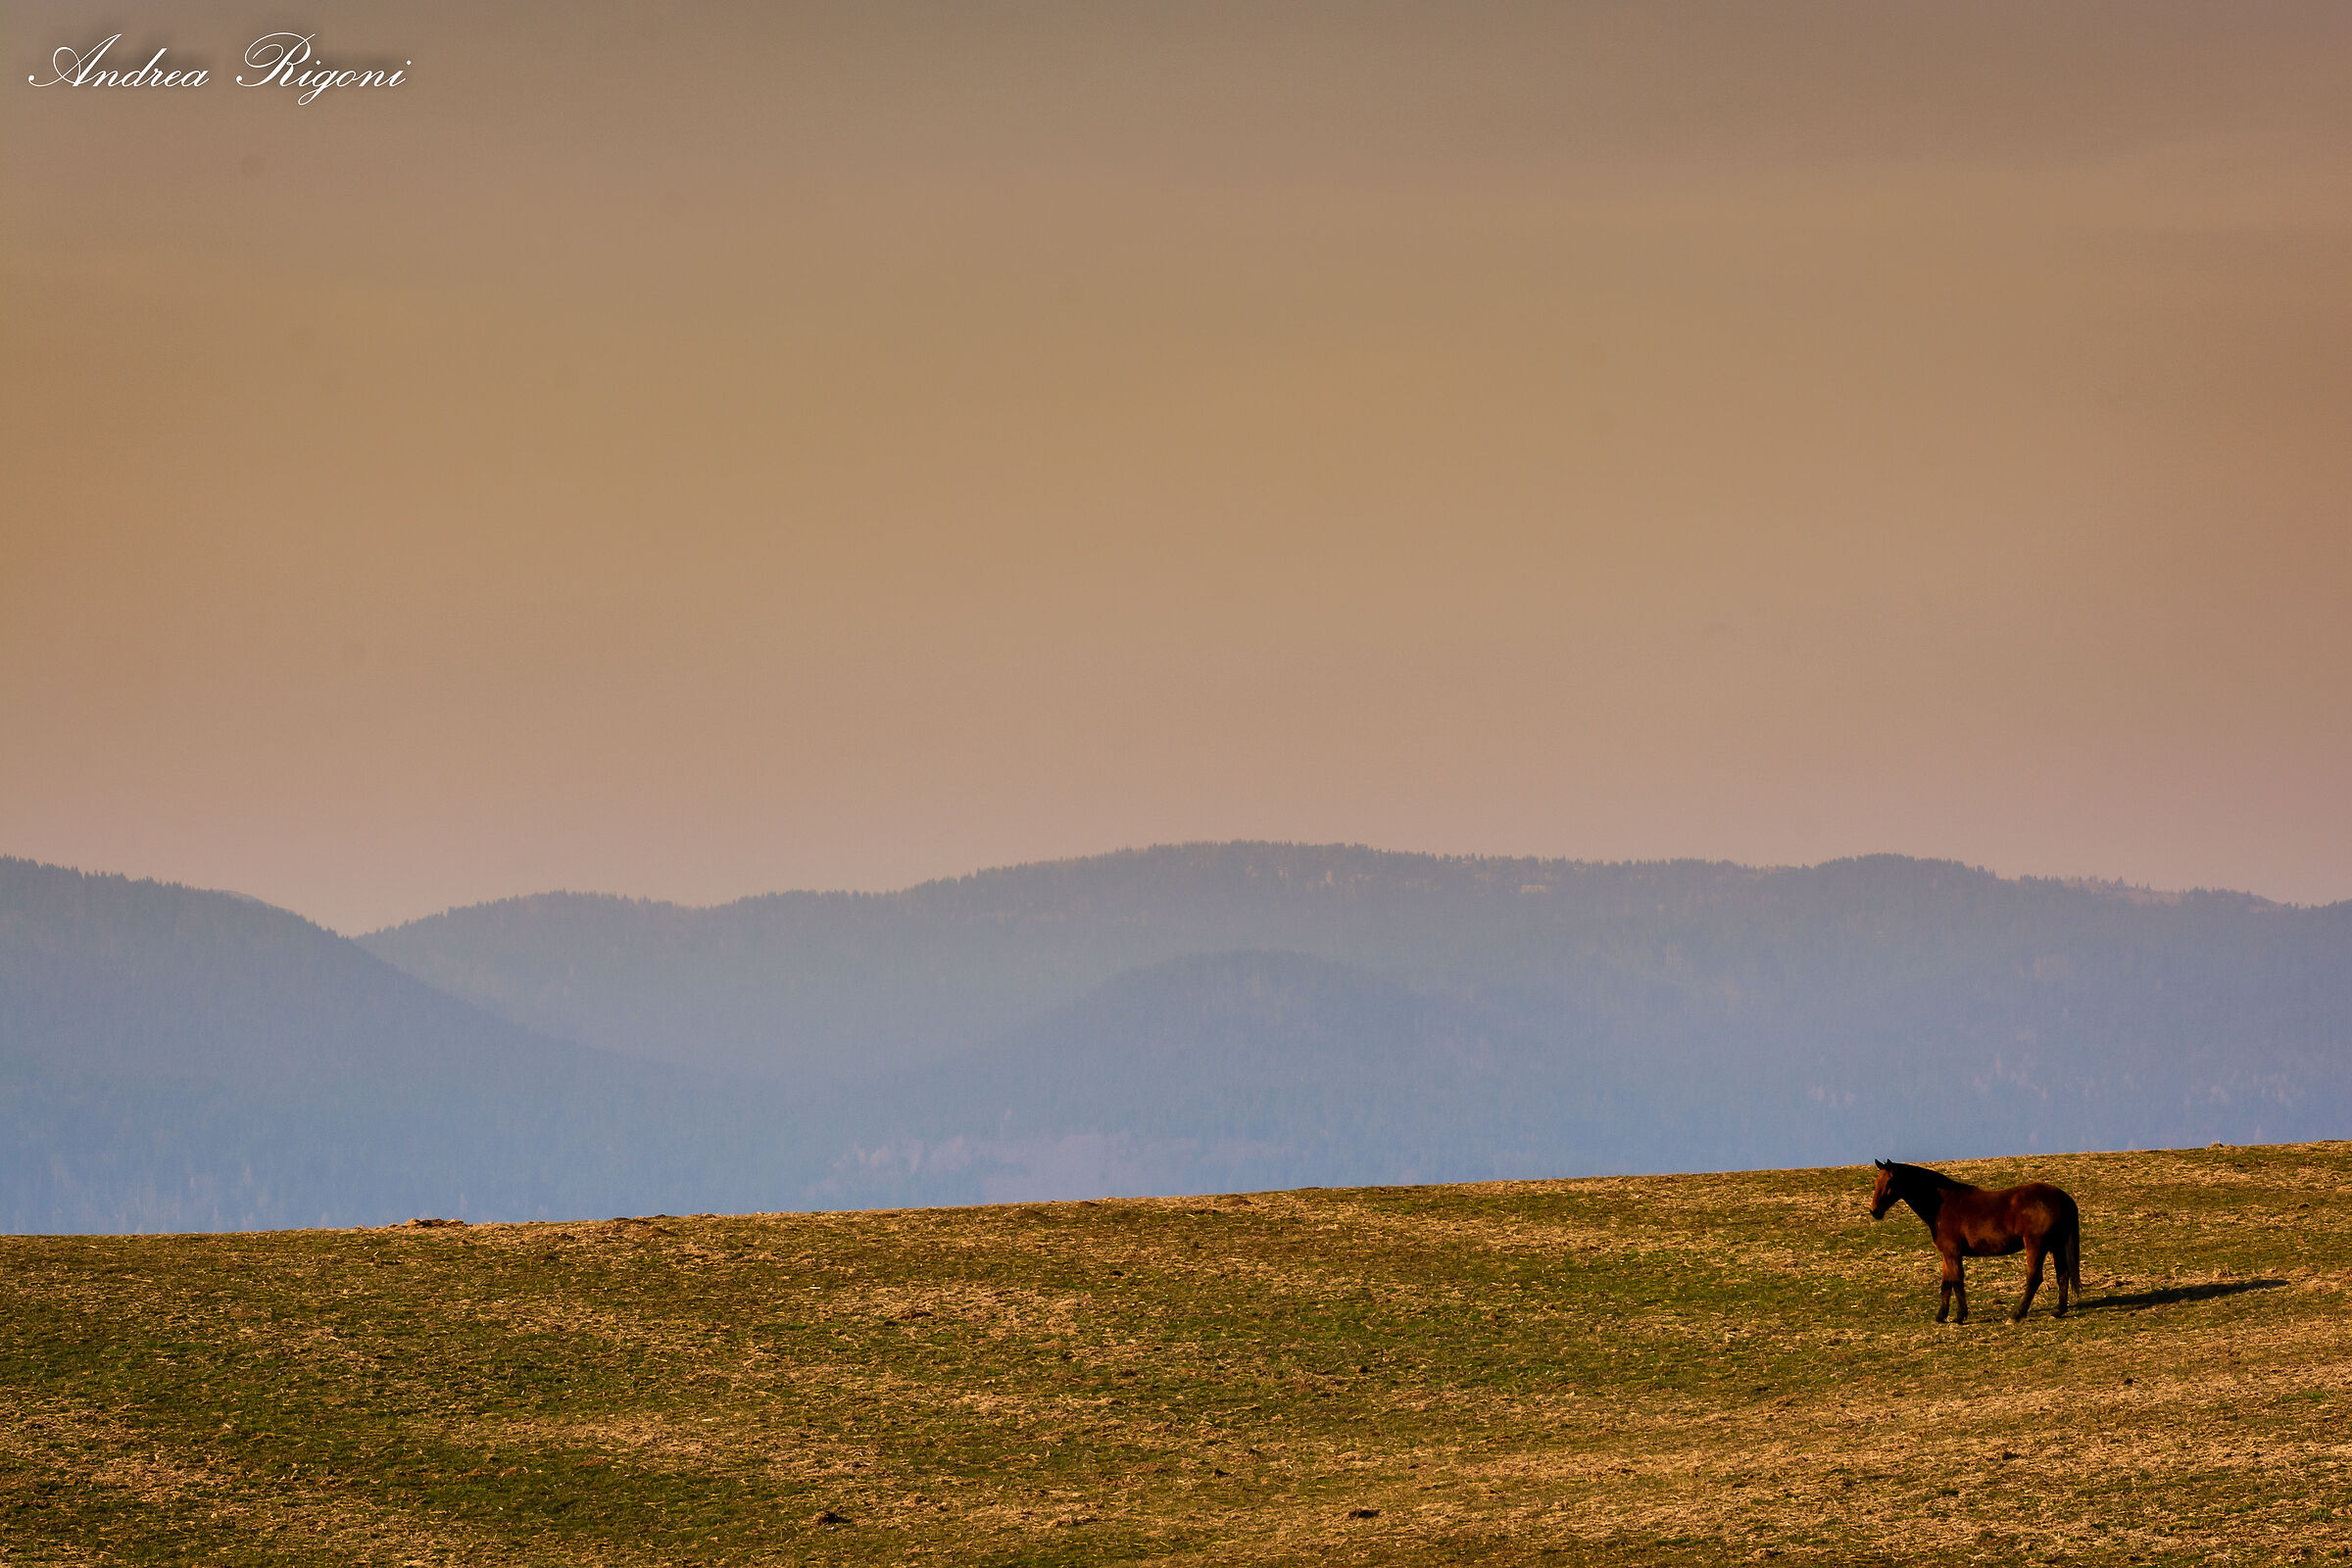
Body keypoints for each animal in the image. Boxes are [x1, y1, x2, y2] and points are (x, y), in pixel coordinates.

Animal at [1868, 1159, 2083, 1323]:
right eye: (1876, 1182)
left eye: (1890, 1182)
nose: (1874, 1211)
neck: (1942, 1204)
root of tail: (2063, 1197)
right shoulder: (1946, 1254)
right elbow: (1946, 1284)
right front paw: (1941, 1316)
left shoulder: (1953, 1253)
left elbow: (1957, 1281)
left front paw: (1959, 1317)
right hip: (2056, 1246)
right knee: (2062, 1275)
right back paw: (2058, 1311)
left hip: (2036, 1245)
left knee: (2034, 1278)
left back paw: (2016, 1315)